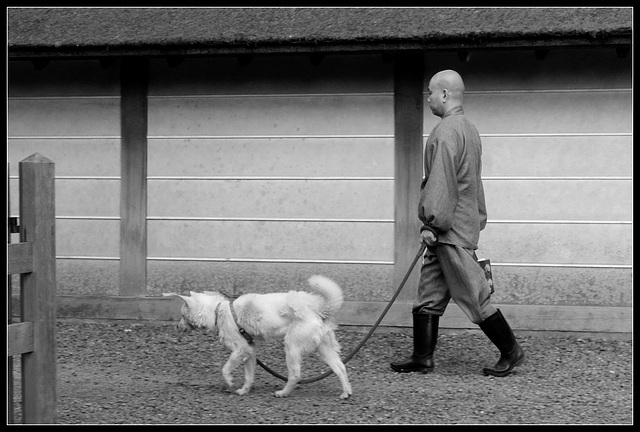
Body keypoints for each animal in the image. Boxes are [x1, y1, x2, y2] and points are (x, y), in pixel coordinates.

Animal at [160, 276, 350, 400]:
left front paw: (230, 383)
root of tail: (319, 309)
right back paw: (346, 393)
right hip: (324, 349)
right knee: (340, 368)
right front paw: (244, 390)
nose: (177, 327)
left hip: (291, 347)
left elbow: (225, 369)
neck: (218, 310)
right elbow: (249, 376)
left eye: (182, 315)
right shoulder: (250, 351)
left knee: (295, 375)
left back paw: (283, 393)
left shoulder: (240, 350)